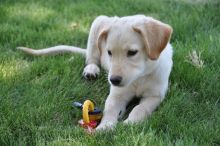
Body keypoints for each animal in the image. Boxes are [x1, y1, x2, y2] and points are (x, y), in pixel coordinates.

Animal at [17, 14, 174, 131]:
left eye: (132, 52)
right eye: (109, 52)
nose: (113, 80)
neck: (140, 77)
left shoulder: (155, 96)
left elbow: (140, 108)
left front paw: (131, 123)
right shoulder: (116, 95)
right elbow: (110, 109)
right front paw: (105, 127)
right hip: (97, 25)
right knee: (91, 58)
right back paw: (91, 70)